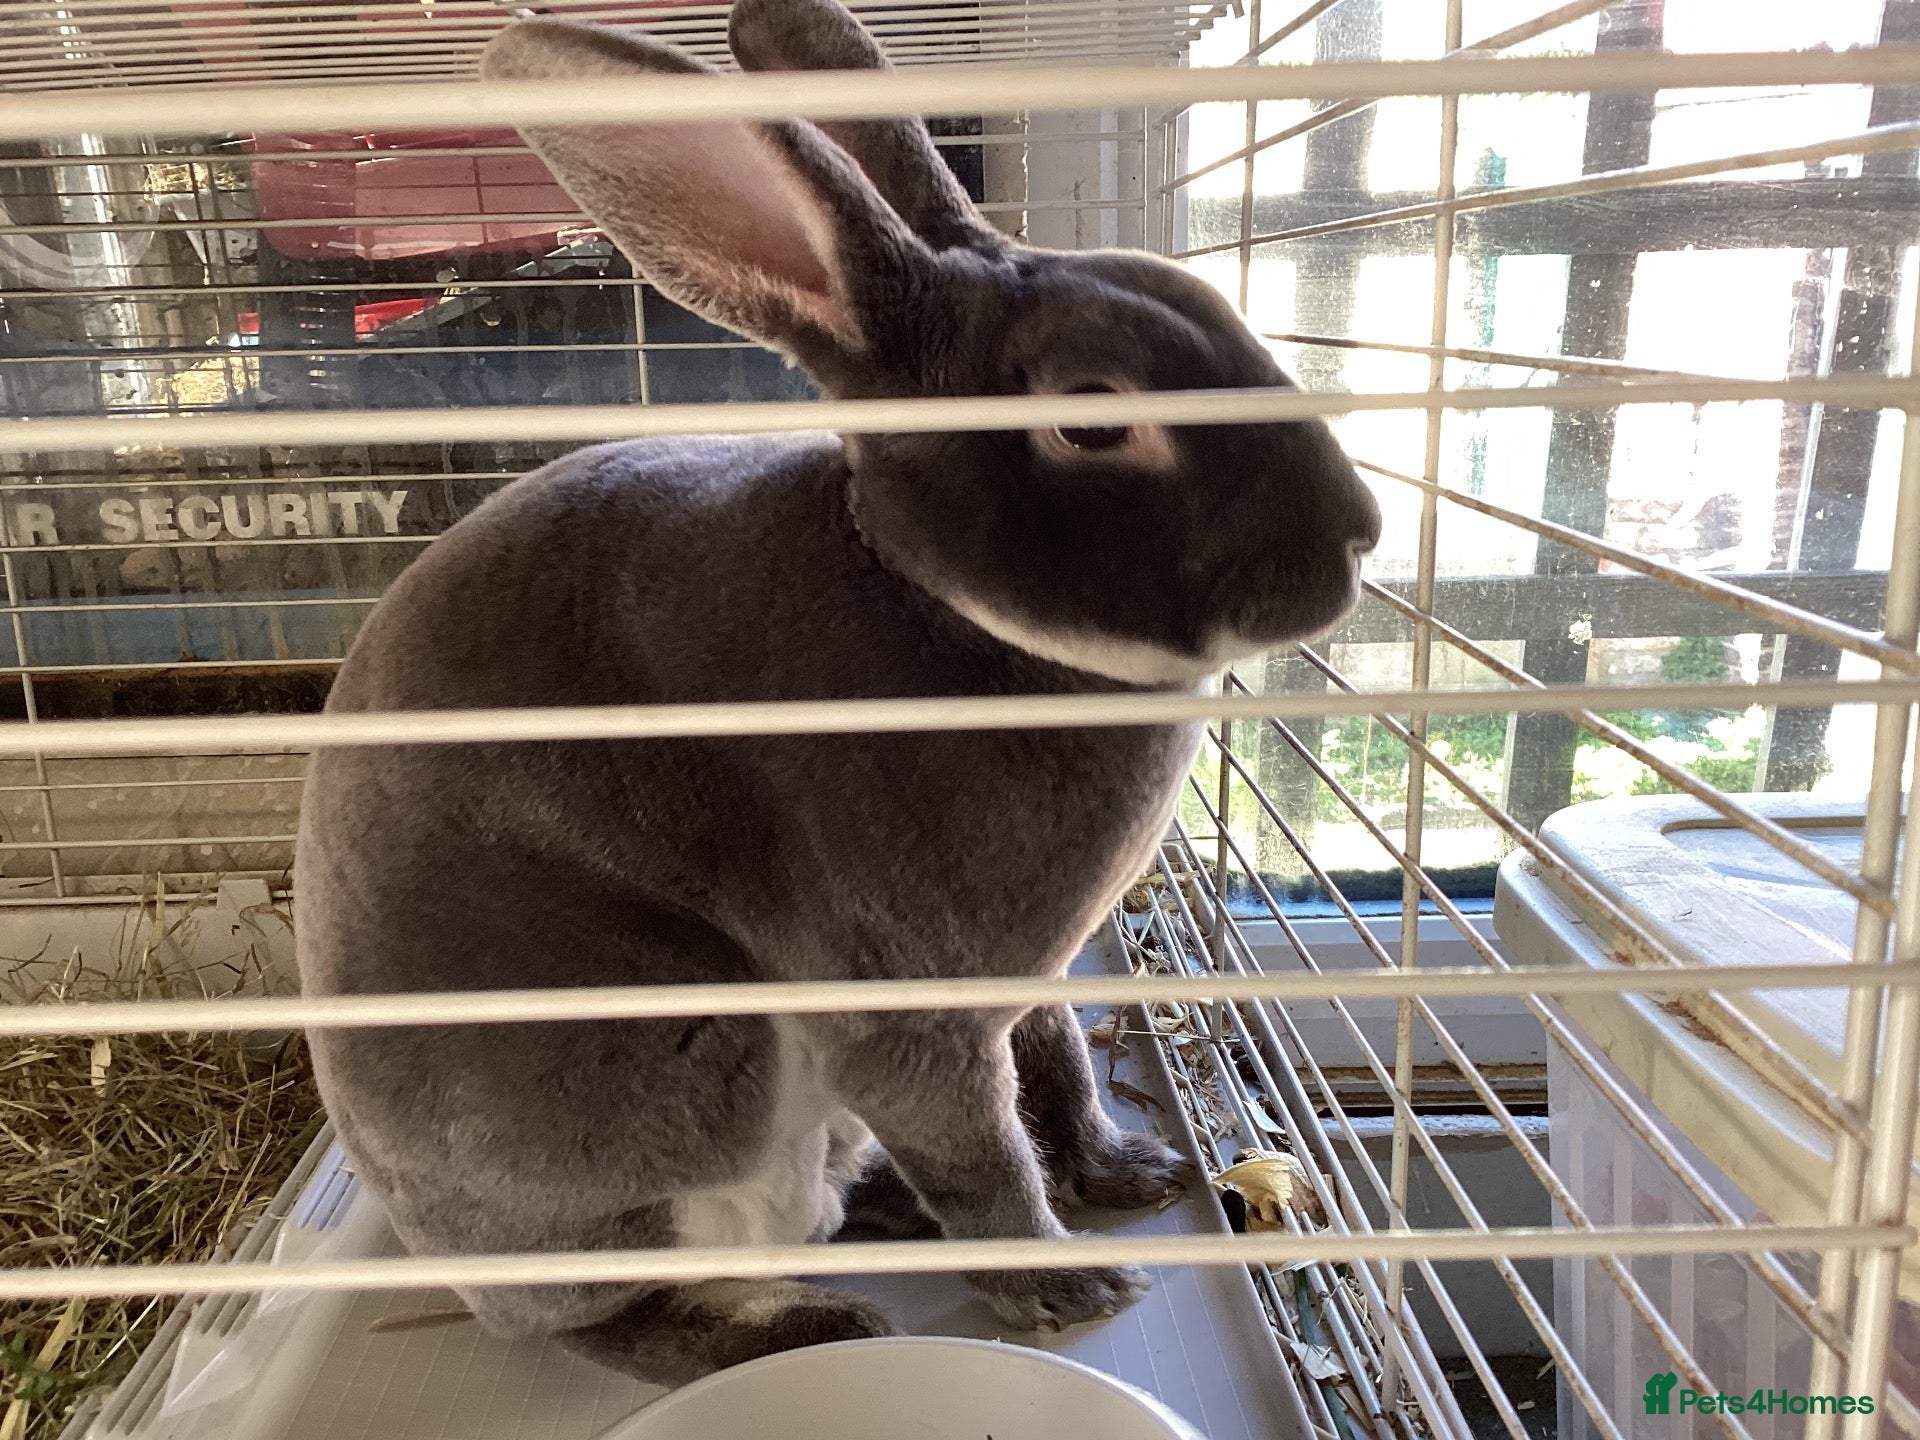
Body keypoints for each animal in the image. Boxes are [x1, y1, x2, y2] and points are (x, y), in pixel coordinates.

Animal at [292, 0, 1381, 1388]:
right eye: (1092, 420)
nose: (1357, 538)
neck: (936, 603)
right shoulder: (903, 1011)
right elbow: (981, 1152)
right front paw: (1071, 1282)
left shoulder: (1030, 986)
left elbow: (1059, 1072)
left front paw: (1128, 1173)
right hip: (678, 1082)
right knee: (617, 1319)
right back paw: (814, 1322)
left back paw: (884, 1222)